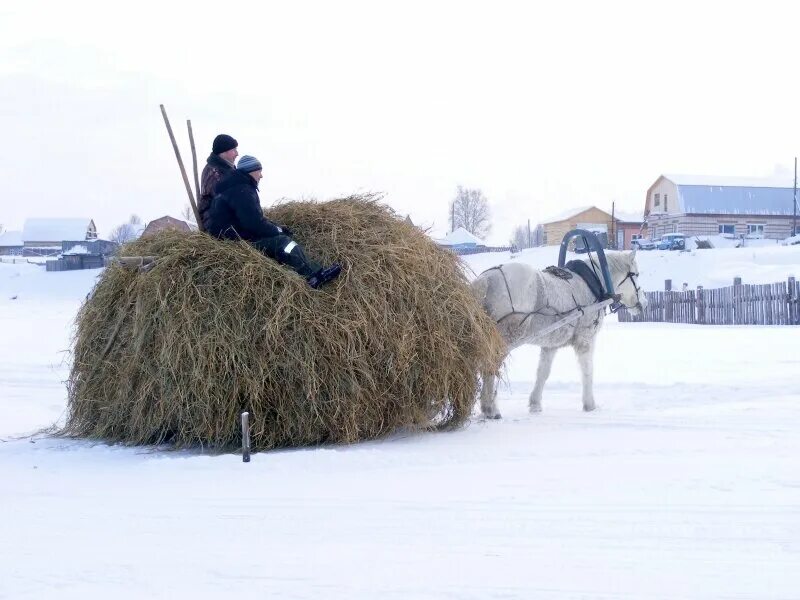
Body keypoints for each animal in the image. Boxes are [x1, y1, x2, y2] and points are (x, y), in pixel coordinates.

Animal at [472, 250, 648, 418]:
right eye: (637, 274)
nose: (644, 303)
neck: (593, 283)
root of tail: (486, 280)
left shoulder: (551, 344)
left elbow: (543, 373)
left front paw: (535, 404)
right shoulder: (586, 340)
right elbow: (587, 371)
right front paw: (590, 405)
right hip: (505, 338)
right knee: (490, 367)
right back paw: (491, 408)